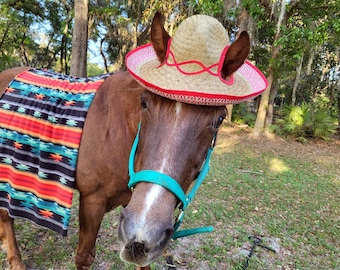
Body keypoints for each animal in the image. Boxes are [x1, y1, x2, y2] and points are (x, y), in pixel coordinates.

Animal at [0, 12, 252, 270]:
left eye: (220, 119)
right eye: (144, 102)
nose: (143, 235)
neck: (120, 134)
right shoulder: (93, 202)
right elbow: (84, 257)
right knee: (6, 216)